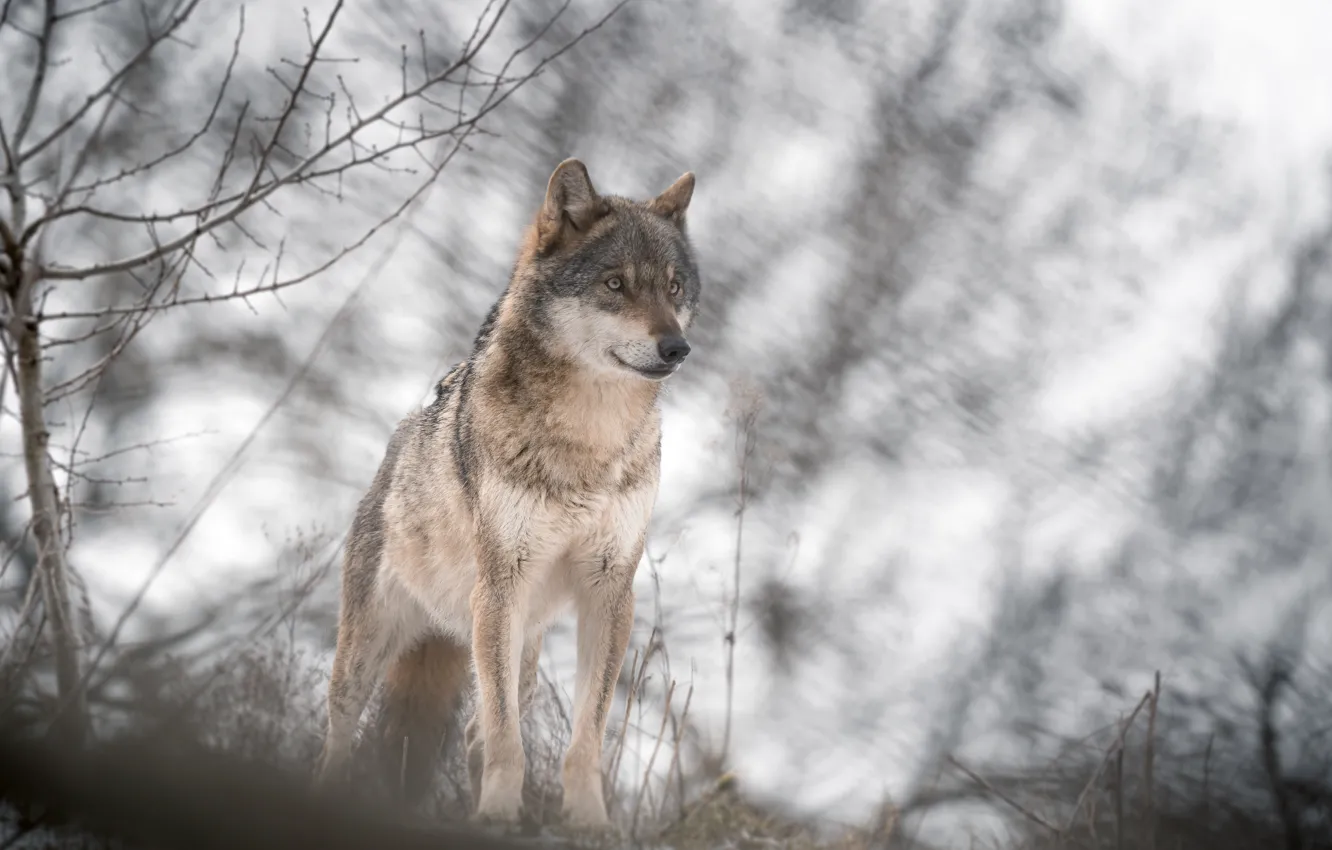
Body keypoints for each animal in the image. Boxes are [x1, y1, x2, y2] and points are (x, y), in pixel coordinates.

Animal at [312, 158, 700, 830]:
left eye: (674, 288)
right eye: (616, 284)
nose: (676, 347)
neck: (588, 441)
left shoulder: (610, 591)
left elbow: (586, 734)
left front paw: (589, 820)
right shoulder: (501, 584)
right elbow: (504, 736)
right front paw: (497, 810)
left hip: (521, 650)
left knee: (474, 731)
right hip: (377, 647)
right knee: (338, 737)